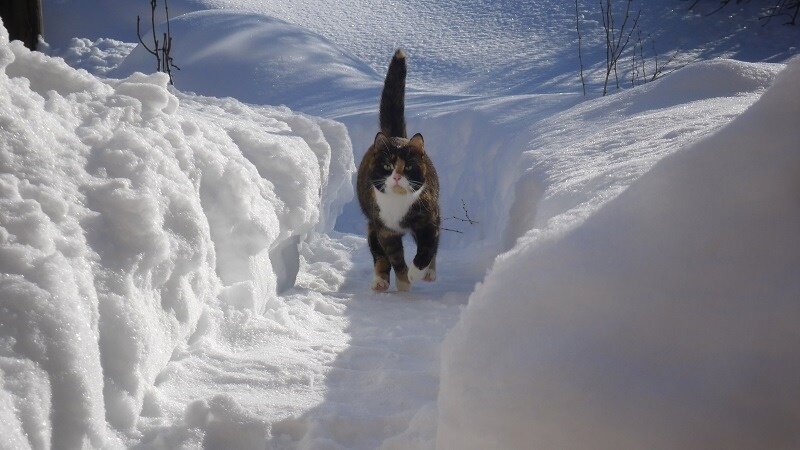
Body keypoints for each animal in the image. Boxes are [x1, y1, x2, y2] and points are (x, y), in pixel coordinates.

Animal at [358, 48, 444, 292]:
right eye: (387, 166)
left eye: (409, 166)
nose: (396, 176)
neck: (398, 205)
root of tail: (395, 136)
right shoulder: (385, 229)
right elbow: (395, 256)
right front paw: (405, 281)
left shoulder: (429, 217)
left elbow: (427, 248)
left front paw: (416, 273)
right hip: (372, 222)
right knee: (378, 252)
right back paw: (380, 280)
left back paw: (430, 273)